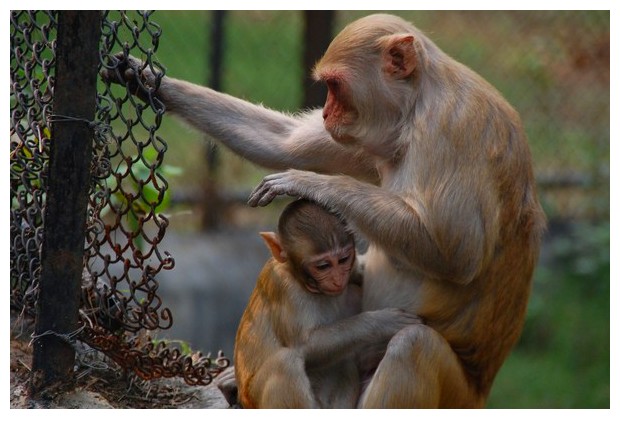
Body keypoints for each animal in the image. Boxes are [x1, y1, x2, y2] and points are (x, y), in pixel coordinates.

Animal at [235, 199, 418, 406]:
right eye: (323, 266)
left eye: (343, 259)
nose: (338, 279)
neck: (300, 280)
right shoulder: (285, 287)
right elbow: (305, 343)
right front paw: (382, 321)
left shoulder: (351, 269)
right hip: (255, 399)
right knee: (285, 362)